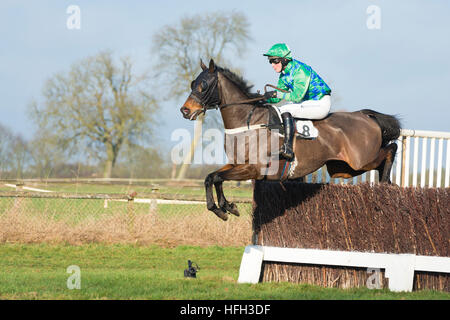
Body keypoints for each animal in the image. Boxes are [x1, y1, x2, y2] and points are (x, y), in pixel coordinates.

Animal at [179, 58, 400, 221]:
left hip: (360, 160)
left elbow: (217, 177)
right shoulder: (236, 164)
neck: (248, 122)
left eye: (204, 85)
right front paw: (224, 207)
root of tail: (365, 115)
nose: (185, 110)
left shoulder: (253, 169)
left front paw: (224, 207)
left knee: (391, 148)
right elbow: (211, 177)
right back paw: (387, 183)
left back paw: (386, 183)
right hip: (343, 168)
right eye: (192, 83)